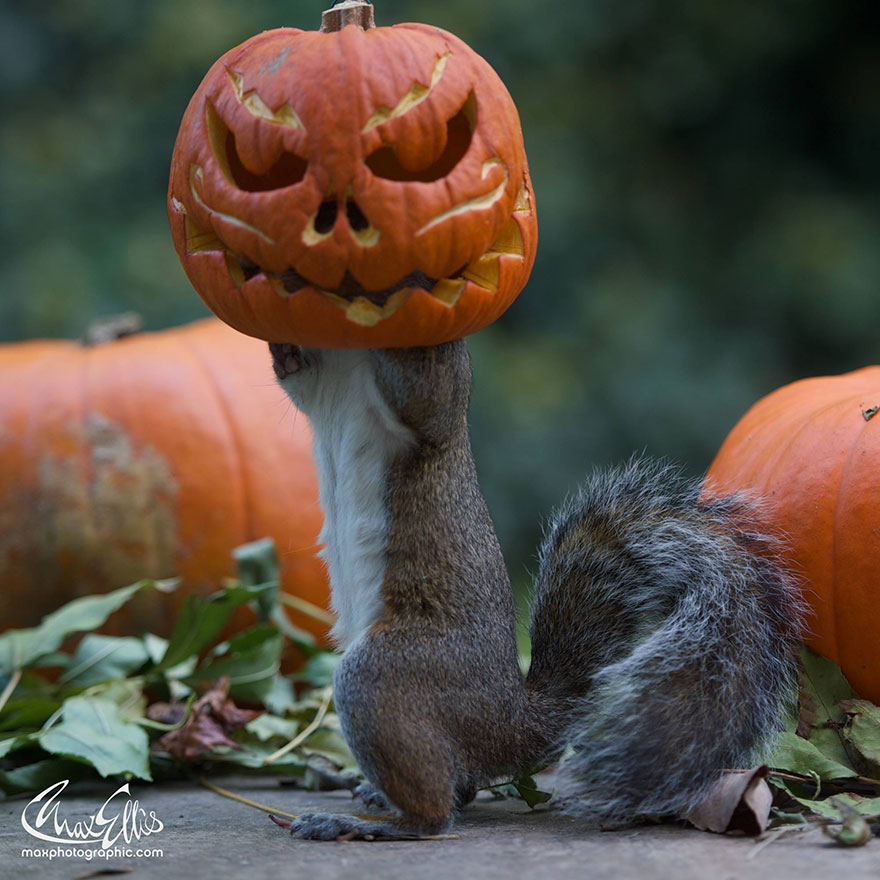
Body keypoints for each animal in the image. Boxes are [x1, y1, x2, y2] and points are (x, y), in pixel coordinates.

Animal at [268, 339, 804, 840]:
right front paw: (283, 346)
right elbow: (295, 380)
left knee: (437, 814)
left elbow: (427, 397)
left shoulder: (436, 414)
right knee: (457, 787)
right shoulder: (317, 387)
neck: (345, 371)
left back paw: (366, 821)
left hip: (386, 675)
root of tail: (509, 722)